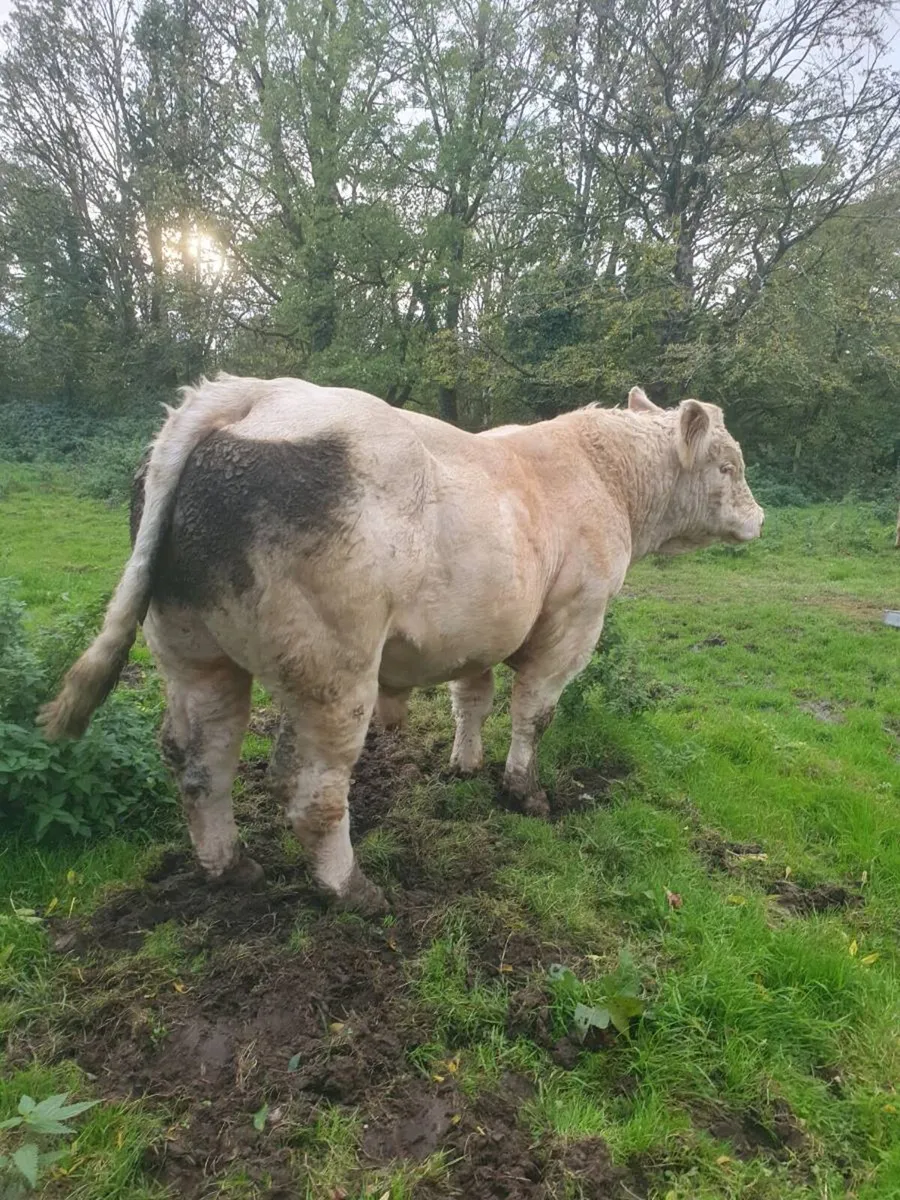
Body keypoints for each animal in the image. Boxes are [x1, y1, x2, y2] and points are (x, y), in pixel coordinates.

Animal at [40, 375, 764, 914]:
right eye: (730, 464)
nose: (760, 518)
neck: (604, 478)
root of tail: (249, 392)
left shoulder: (480, 628)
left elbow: (473, 697)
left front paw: (464, 764)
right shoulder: (574, 618)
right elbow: (534, 712)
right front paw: (523, 793)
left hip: (191, 651)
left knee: (198, 762)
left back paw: (231, 867)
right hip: (335, 667)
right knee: (311, 786)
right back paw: (352, 890)